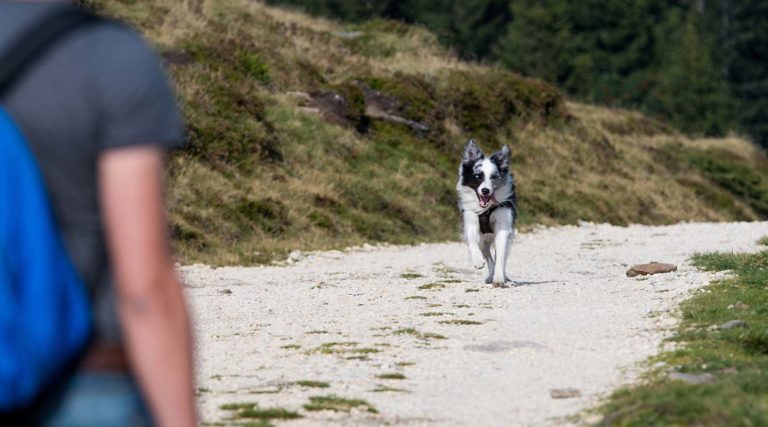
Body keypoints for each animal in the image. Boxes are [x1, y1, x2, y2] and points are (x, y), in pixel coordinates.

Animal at [456, 140, 516, 288]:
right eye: (478, 176)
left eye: (493, 177)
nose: (485, 191)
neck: (486, 209)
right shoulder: (471, 220)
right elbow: (472, 240)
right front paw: (477, 261)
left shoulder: (503, 227)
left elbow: (500, 256)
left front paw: (499, 278)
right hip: (484, 241)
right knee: (487, 255)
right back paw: (489, 275)